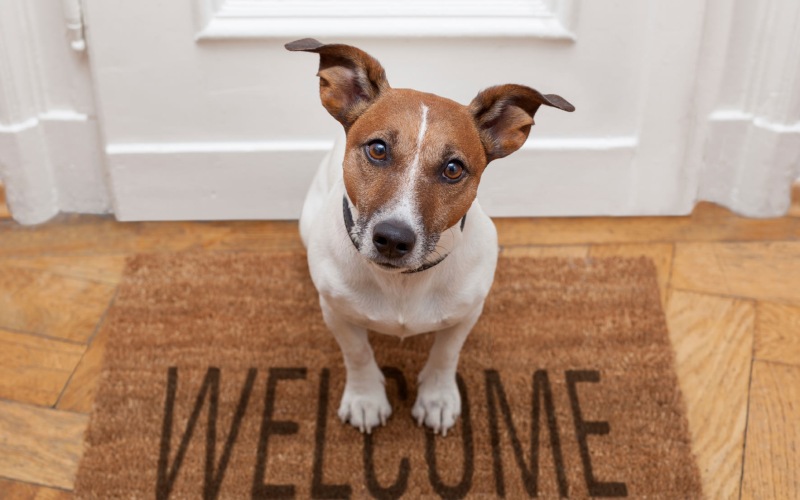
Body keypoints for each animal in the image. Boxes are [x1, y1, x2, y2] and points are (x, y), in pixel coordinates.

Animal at [288, 40, 576, 438]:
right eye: (378, 149)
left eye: (453, 169)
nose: (393, 239)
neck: (402, 283)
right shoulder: (336, 312)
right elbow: (357, 353)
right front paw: (365, 398)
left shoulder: (467, 313)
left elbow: (445, 354)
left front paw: (437, 399)